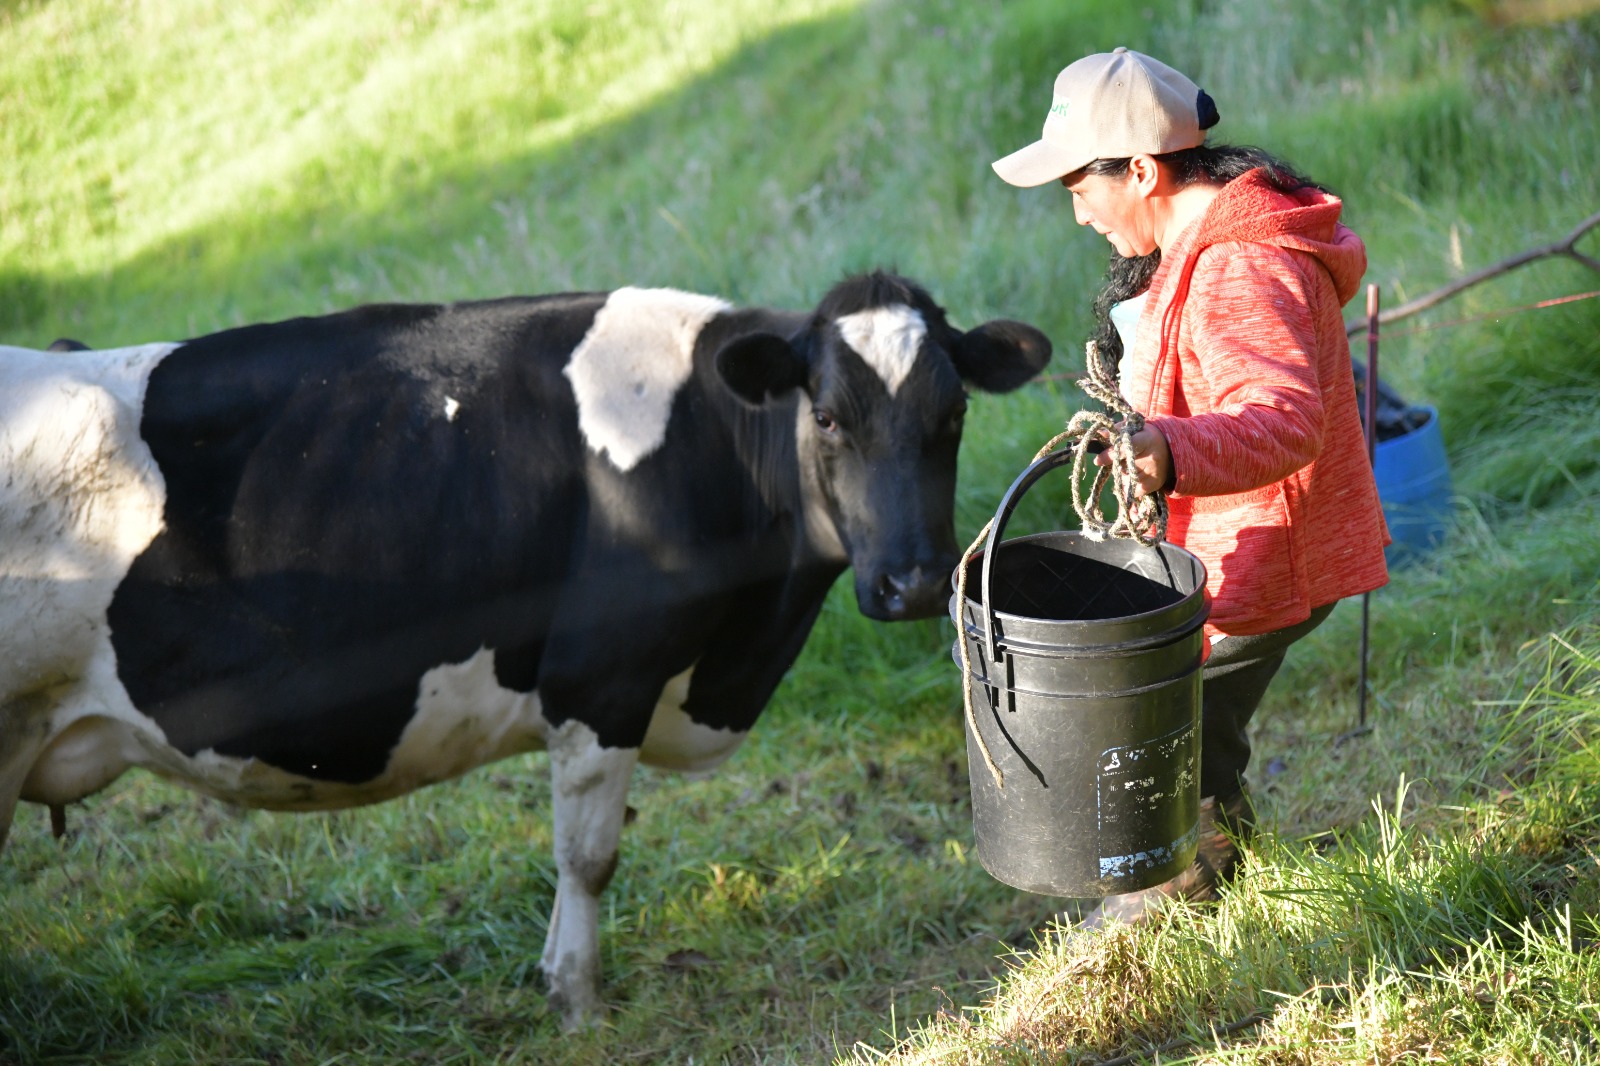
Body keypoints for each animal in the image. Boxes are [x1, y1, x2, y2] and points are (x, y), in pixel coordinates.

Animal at [0, 272, 1050, 1027]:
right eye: (827, 416)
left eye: (954, 414)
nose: (916, 582)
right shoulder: (602, 678)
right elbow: (588, 856)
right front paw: (577, 1001)